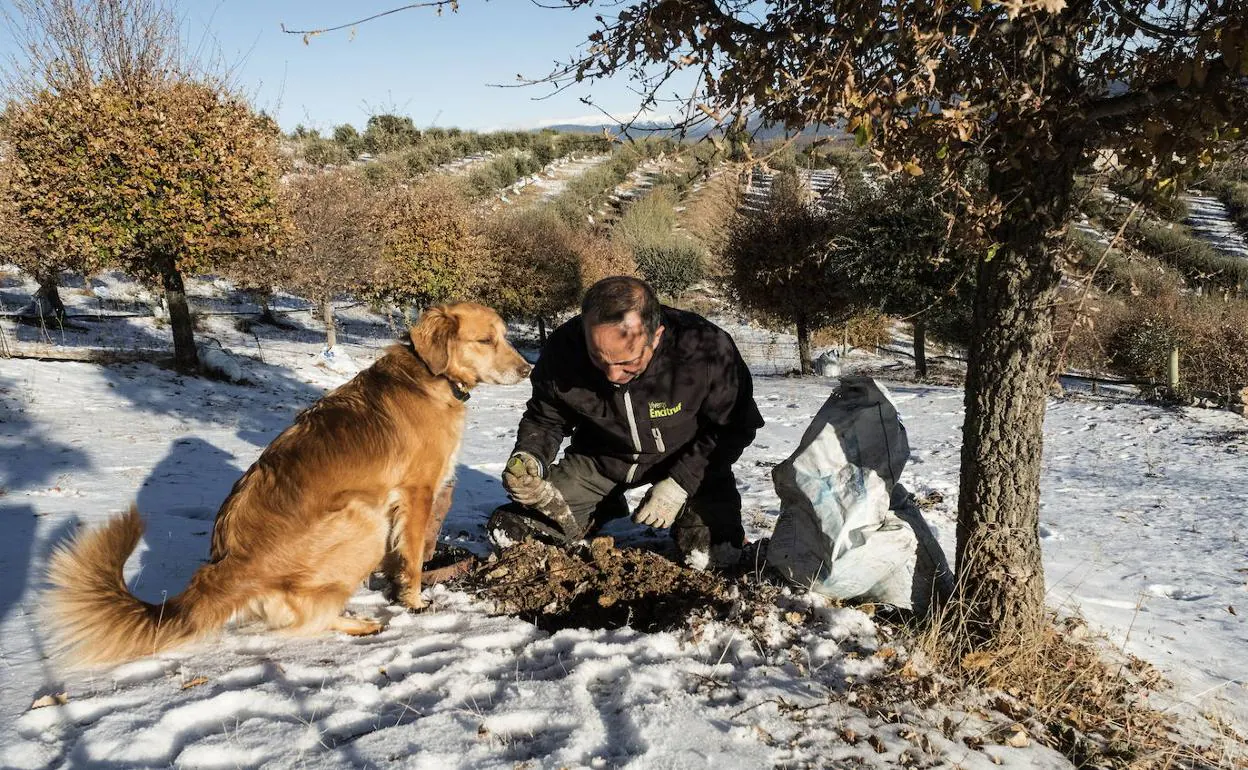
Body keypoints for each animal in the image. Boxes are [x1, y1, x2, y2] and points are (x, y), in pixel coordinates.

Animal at [43, 302, 529, 668]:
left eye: (505, 336)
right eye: (486, 341)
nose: (527, 369)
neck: (430, 374)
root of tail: (228, 566)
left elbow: (399, 558)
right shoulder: (416, 492)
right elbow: (410, 557)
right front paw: (413, 601)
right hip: (362, 518)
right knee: (307, 620)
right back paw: (357, 623)